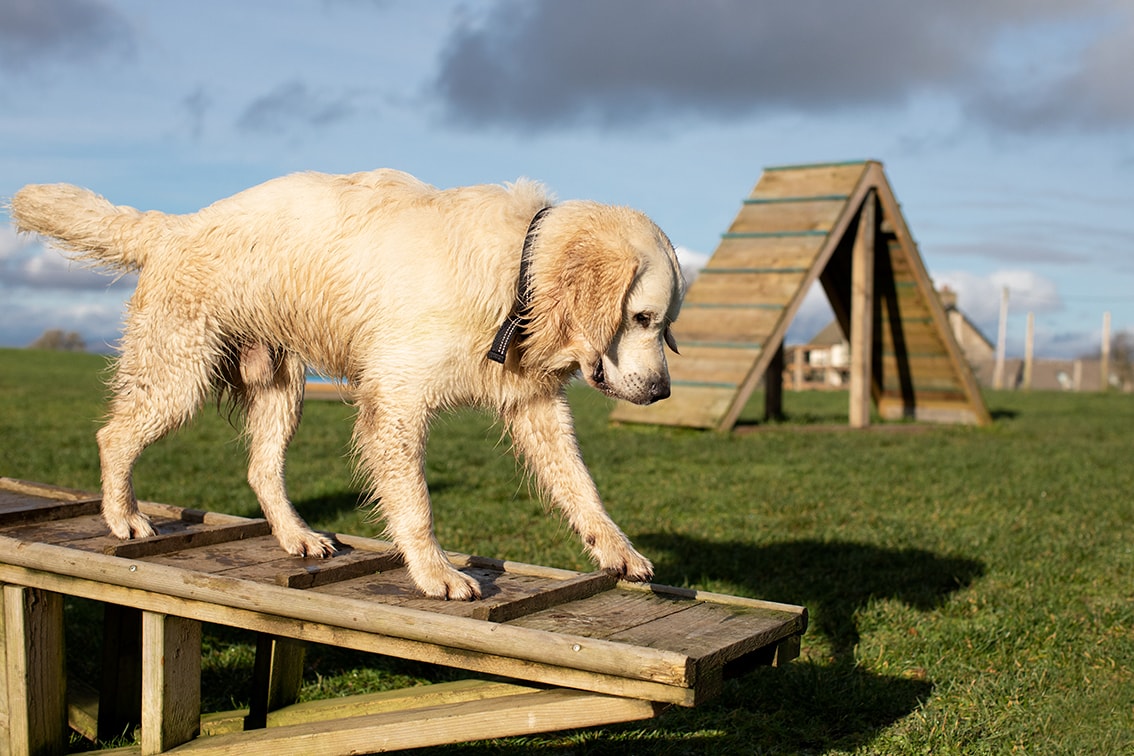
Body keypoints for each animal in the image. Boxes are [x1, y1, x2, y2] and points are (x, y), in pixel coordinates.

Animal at [8, 168, 684, 598]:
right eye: (641, 318)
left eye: (666, 323)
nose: (663, 393)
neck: (515, 271)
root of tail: (173, 226)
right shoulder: (396, 403)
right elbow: (416, 506)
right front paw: (436, 574)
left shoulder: (536, 406)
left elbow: (582, 488)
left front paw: (617, 551)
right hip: (179, 379)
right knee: (113, 437)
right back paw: (123, 517)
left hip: (281, 389)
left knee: (260, 469)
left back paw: (296, 537)